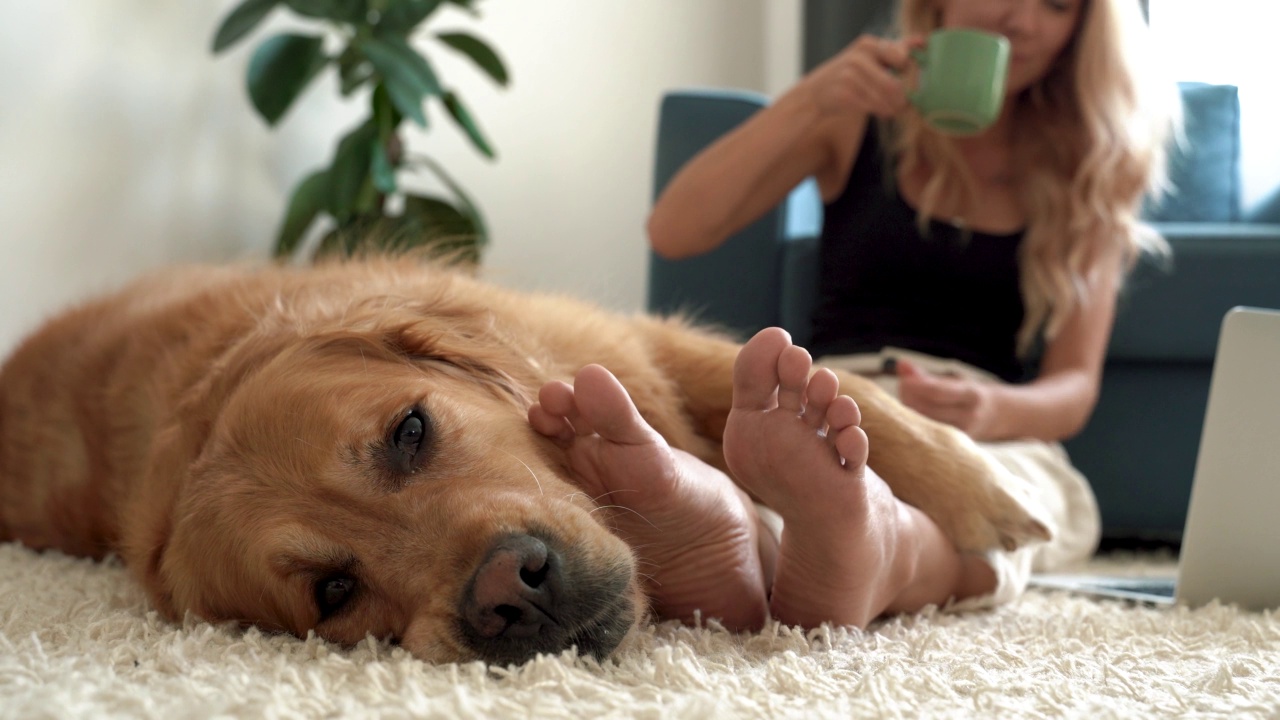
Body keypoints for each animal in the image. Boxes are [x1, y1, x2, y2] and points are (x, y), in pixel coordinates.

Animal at [0, 256, 1044, 661]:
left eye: (409, 431)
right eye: (334, 592)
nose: (512, 591)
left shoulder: (636, 347)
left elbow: (858, 402)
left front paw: (983, 489)